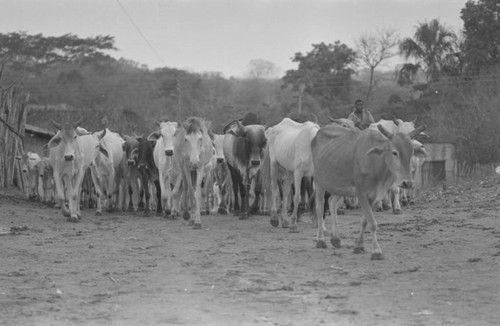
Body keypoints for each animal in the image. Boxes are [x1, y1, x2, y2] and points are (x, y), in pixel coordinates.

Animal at [312, 120, 426, 260]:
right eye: (394, 152)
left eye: (411, 153)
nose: (407, 183)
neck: (375, 162)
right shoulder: (361, 193)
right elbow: (372, 223)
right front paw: (376, 251)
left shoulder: (373, 195)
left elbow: (365, 221)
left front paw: (359, 246)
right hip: (319, 182)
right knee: (319, 208)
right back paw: (321, 240)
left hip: (340, 186)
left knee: (332, 203)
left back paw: (336, 238)